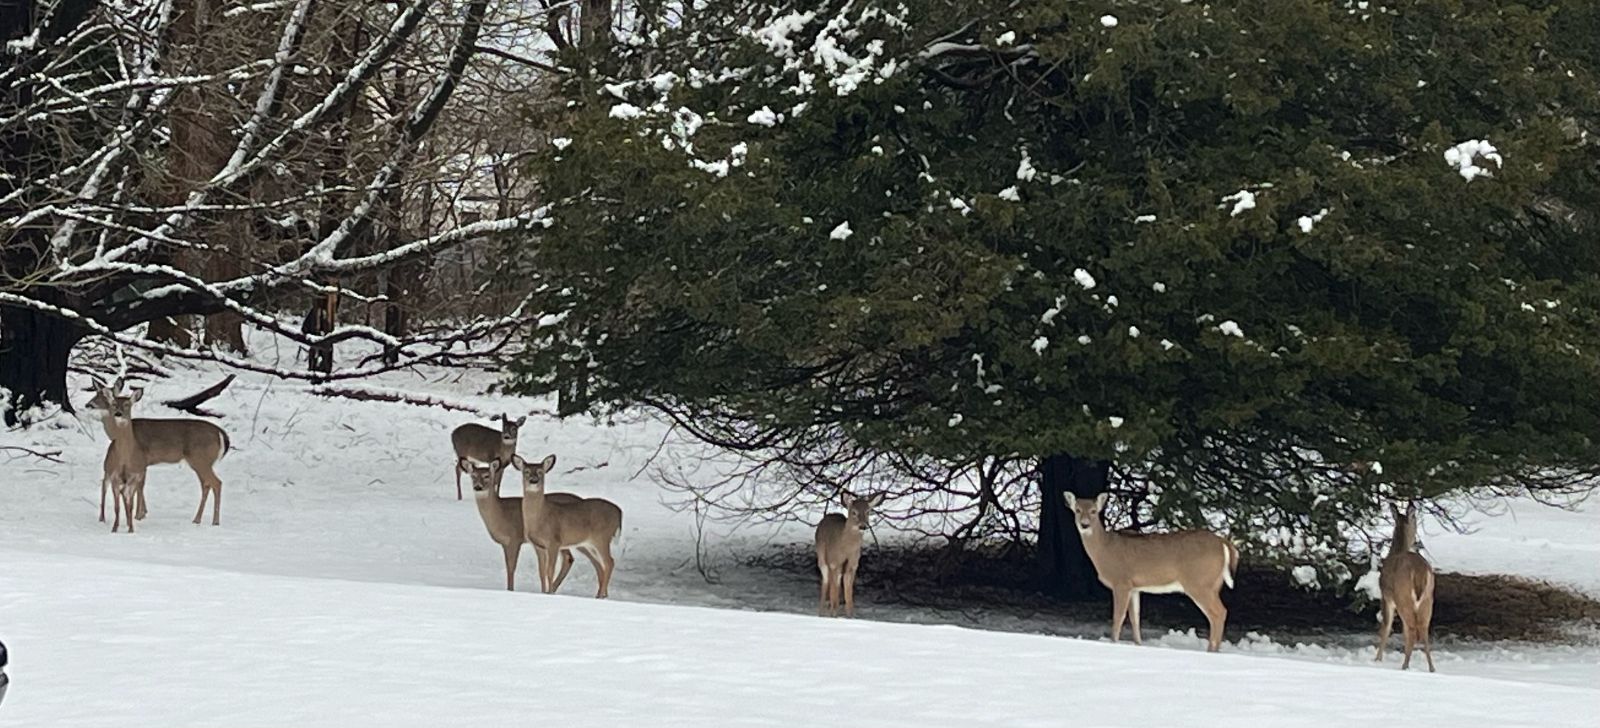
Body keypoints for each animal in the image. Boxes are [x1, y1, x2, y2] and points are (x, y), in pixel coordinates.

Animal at [93, 384, 230, 534]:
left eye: (126, 404)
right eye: (112, 403)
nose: (89, 404)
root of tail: (221, 433)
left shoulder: (142, 463)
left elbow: (139, 486)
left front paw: (139, 515)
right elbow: (138, 487)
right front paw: (141, 514)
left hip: (201, 459)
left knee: (217, 483)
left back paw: (215, 521)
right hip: (200, 462)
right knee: (206, 484)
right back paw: (197, 519)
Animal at [457, 460, 582, 592]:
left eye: (487, 476)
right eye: (473, 476)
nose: (478, 487)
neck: (501, 514)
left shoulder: (515, 538)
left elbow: (511, 567)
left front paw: (510, 590)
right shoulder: (505, 543)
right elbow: (508, 566)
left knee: (569, 558)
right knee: (568, 558)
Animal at [518, 454, 630, 598]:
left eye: (540, 472)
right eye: (526, 472)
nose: (533, 481)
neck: (540, 517)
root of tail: (619, 512)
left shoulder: (554, 542)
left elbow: (550, 570)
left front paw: (550, 593)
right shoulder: (538, 545)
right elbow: (541, 572)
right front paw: (543, 592)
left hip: (602, 537)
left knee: (609, 562)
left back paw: (601, 596)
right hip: (589, 543)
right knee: (600, 564)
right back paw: (601, 594)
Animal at [1068, 489, 1241, 656]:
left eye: (1093, 511)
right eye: (1077, 510)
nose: (1084, 525)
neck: (1105, 550)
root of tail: (1224, 543)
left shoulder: (1121, 581)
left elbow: (1118, 617)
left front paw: (1113, 643)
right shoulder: (1134, 587)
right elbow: (1135, 617)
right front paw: (1138, 644)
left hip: (1199, 582)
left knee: (1219, 612)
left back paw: (1211, 652)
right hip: (1214, 584)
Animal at [1376, 502, 1440, 672]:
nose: (1418, 543)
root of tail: (1419, 571)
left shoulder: (1386, 596)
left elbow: (1386, 626)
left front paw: (1377, 659)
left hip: (1402, 595)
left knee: (1410, 629)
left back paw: (1405, 665)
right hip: (1428, 598)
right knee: (1423, 629)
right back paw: (1431, 668)